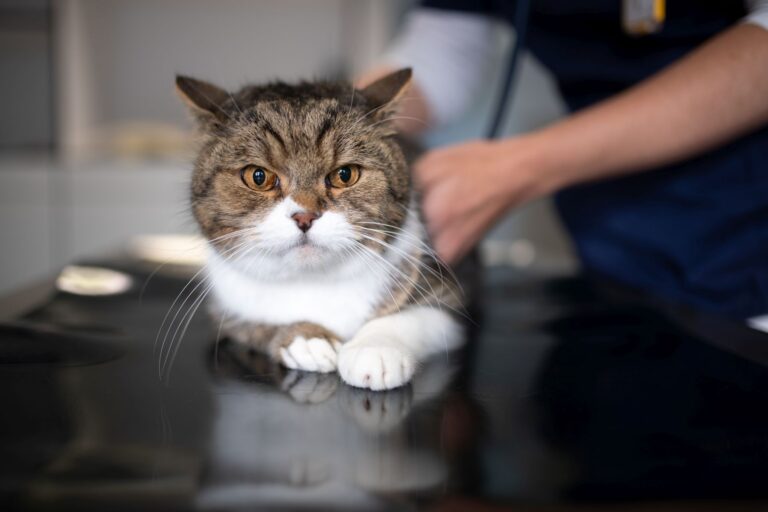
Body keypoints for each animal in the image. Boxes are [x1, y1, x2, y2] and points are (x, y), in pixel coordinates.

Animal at [176, 67, 462, 388]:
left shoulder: (449, 301)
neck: (313, 281)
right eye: (258, 177)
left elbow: (417, 317)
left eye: (345, 174)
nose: (305, 217)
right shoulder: (226, 308)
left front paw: (374, 349)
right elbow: (253, 325)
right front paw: (306, 339)